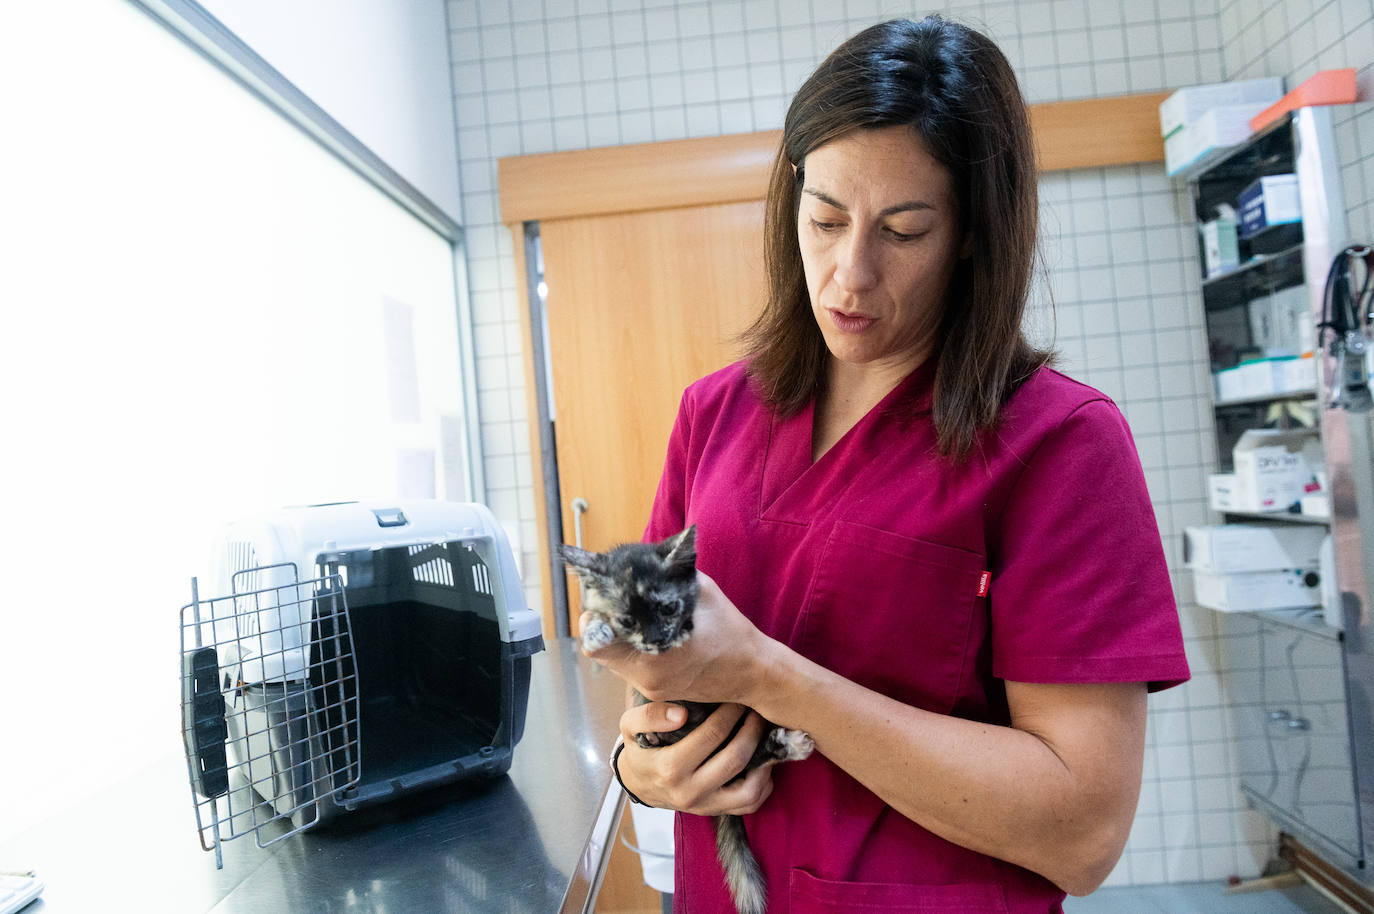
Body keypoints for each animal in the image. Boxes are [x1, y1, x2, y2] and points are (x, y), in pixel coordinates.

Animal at [560, 525, 813, 912]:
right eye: (627, 620)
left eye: (668, 607)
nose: (657, 640)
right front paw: (594, 632)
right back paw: (655, 738)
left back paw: (786, 745)